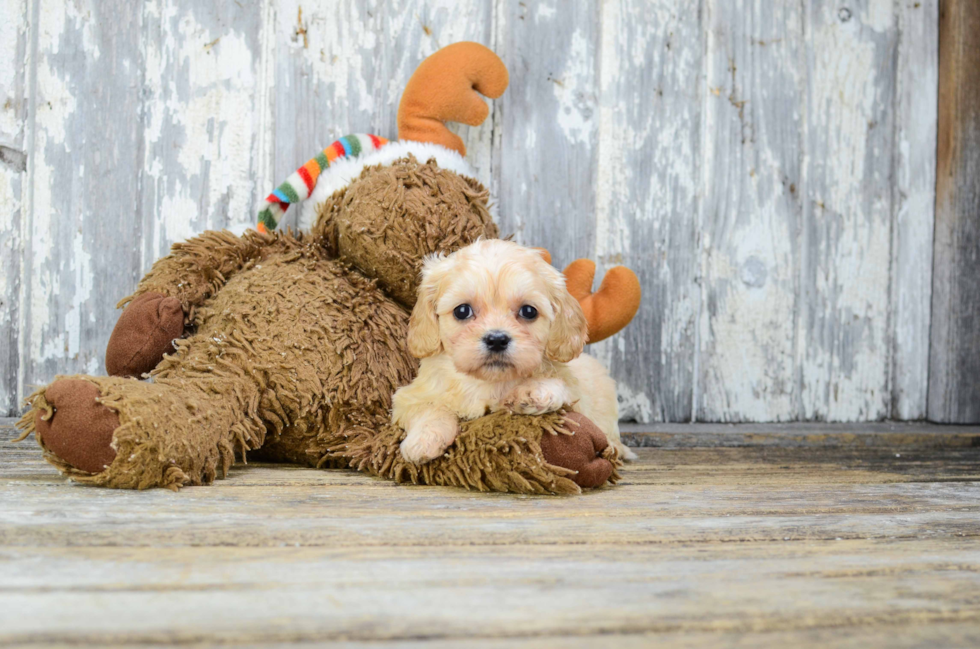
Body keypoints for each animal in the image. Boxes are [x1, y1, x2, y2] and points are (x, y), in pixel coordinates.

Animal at [394, 240, 632, 464]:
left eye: (528, 311)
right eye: (462, 311)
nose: (497, 340)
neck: (491, 382)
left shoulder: (576, 396)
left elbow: (559, 385)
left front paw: (532, 392)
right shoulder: (409, 398)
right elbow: (430, 408)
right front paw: (423, 442)